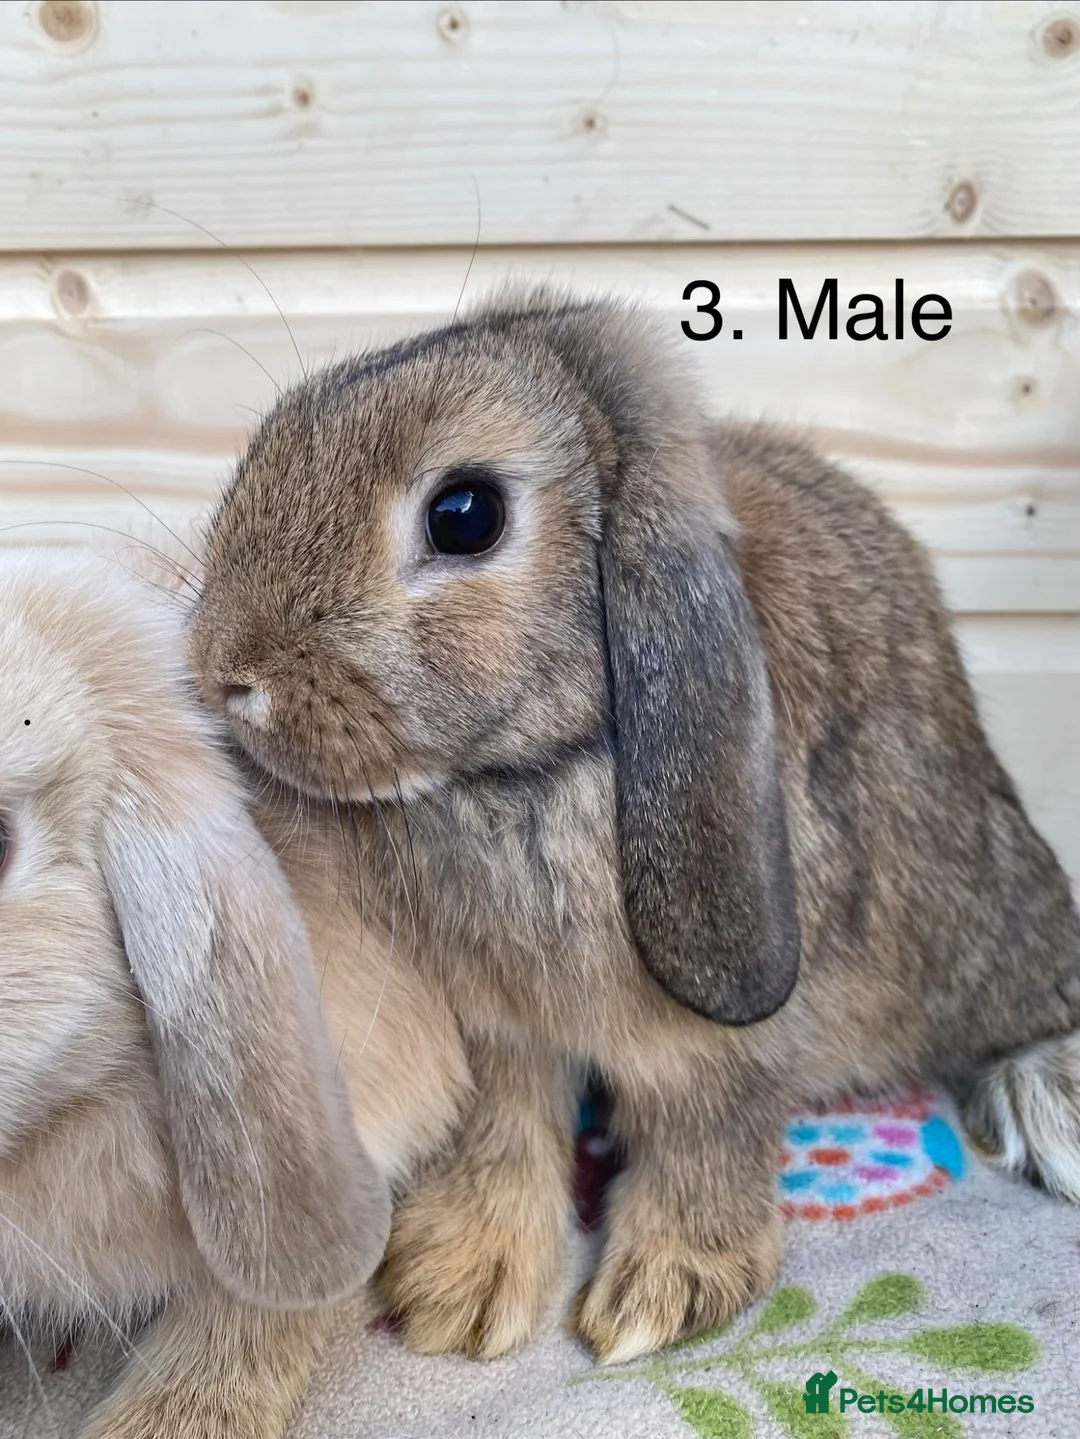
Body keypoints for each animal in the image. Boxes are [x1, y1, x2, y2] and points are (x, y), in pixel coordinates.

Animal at [187, 287, 1080, 1366]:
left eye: (463, 514)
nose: (226, 670)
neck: (528, 775)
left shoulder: (723, 1045)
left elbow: (705, 1134)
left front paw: (662, 1292)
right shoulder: (496, 1029)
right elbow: (501, 1127)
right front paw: (460, 1289)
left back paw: (1049, 1099)